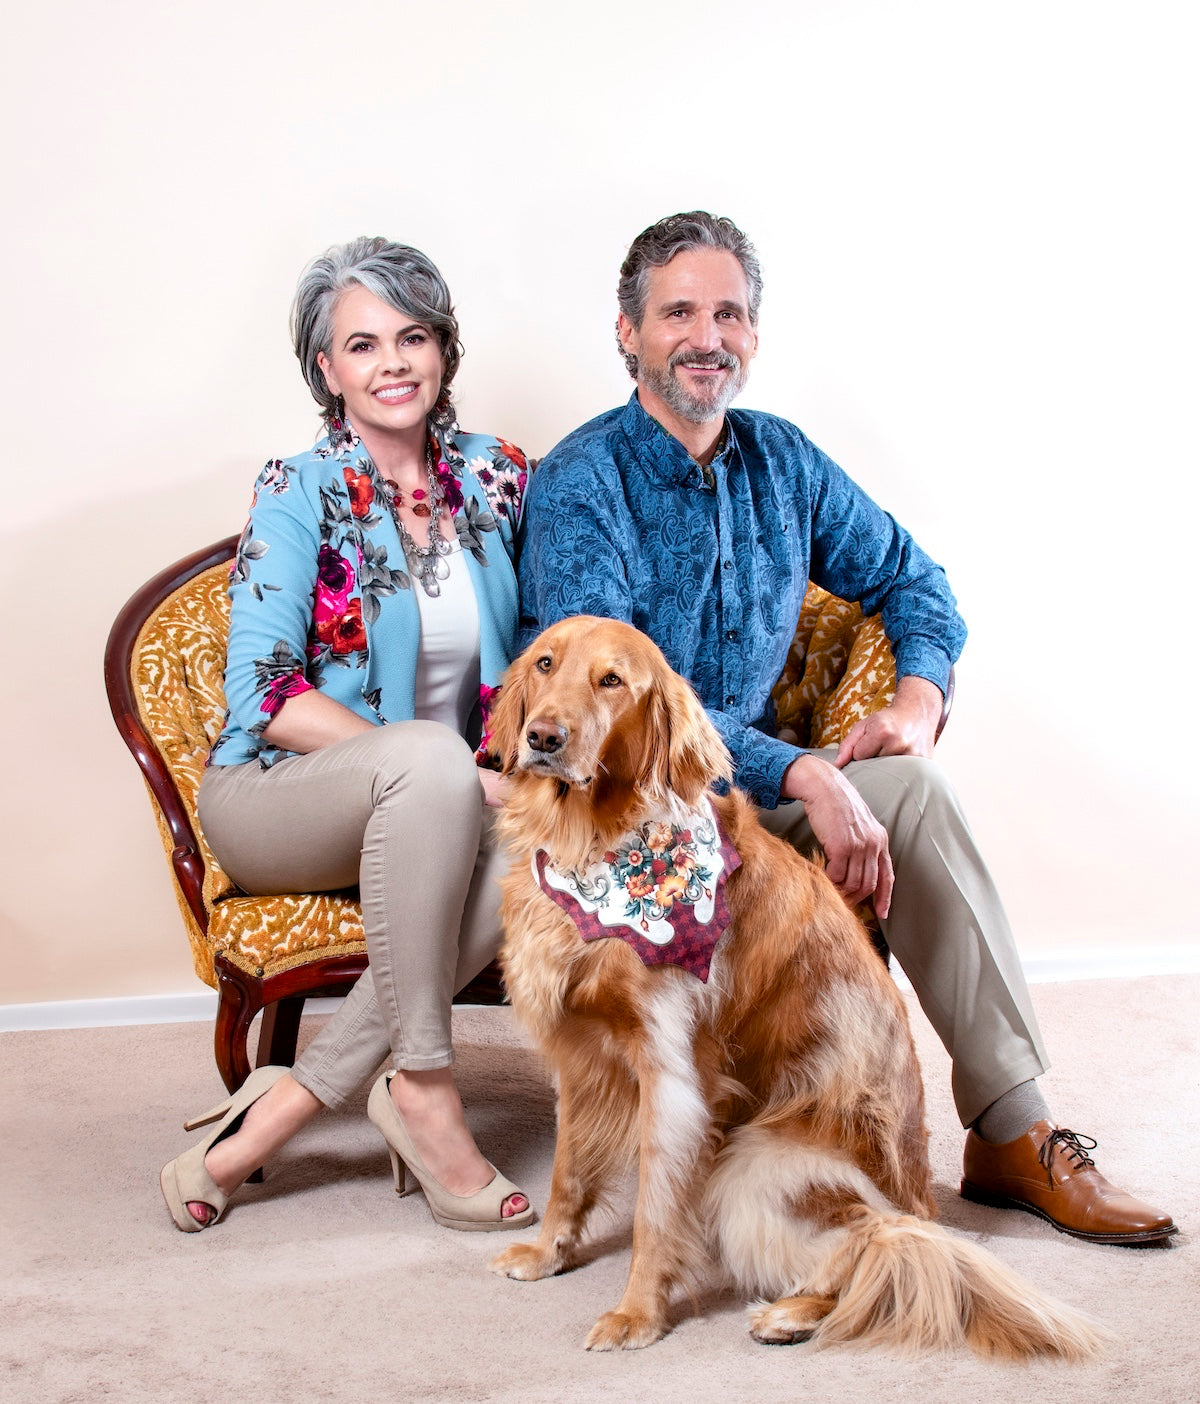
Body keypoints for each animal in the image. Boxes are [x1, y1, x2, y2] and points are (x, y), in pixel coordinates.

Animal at [485, 614, 1100, 1359]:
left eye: (612, 681)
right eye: (545, 664)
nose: (543, 738)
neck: (598, 848)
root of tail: (923, 1205)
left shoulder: (673, 1074)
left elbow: (655, 1211)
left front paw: (638, 1313)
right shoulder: (579, 1056)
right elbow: (568, 1170)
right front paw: (549, 1251)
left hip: (753, 1163)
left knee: (881, 1246)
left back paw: (793, 1312)